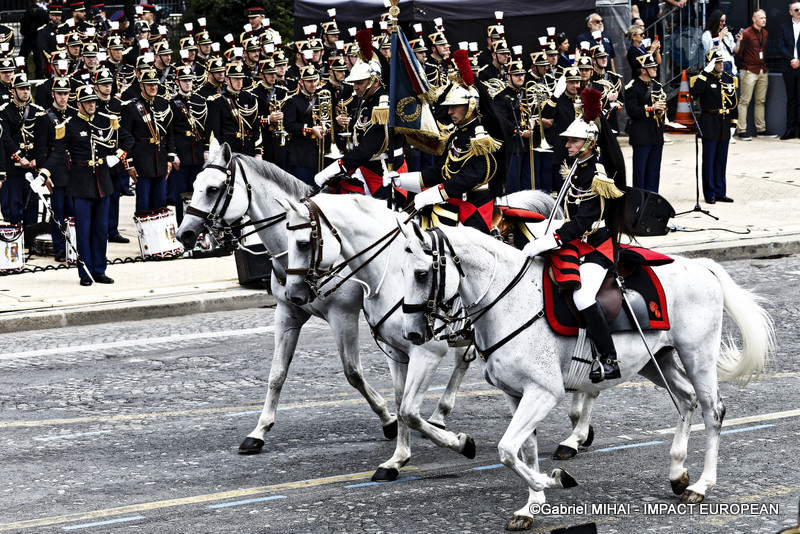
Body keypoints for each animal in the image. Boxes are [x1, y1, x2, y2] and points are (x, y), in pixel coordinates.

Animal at [400, 222, 776, 532]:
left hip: (697, 355)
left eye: (421, 273)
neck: (509, 302)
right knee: (686, 398)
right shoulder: (516, 393)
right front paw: (532, 505)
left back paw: (701, 485)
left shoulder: (543, 392)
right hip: (658, 360)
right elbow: (525, 450)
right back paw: (677, 472)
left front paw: (553, 481)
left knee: (713, 411)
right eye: (401, 272)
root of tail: (699, 265)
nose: (413, 334)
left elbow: (507, 449)